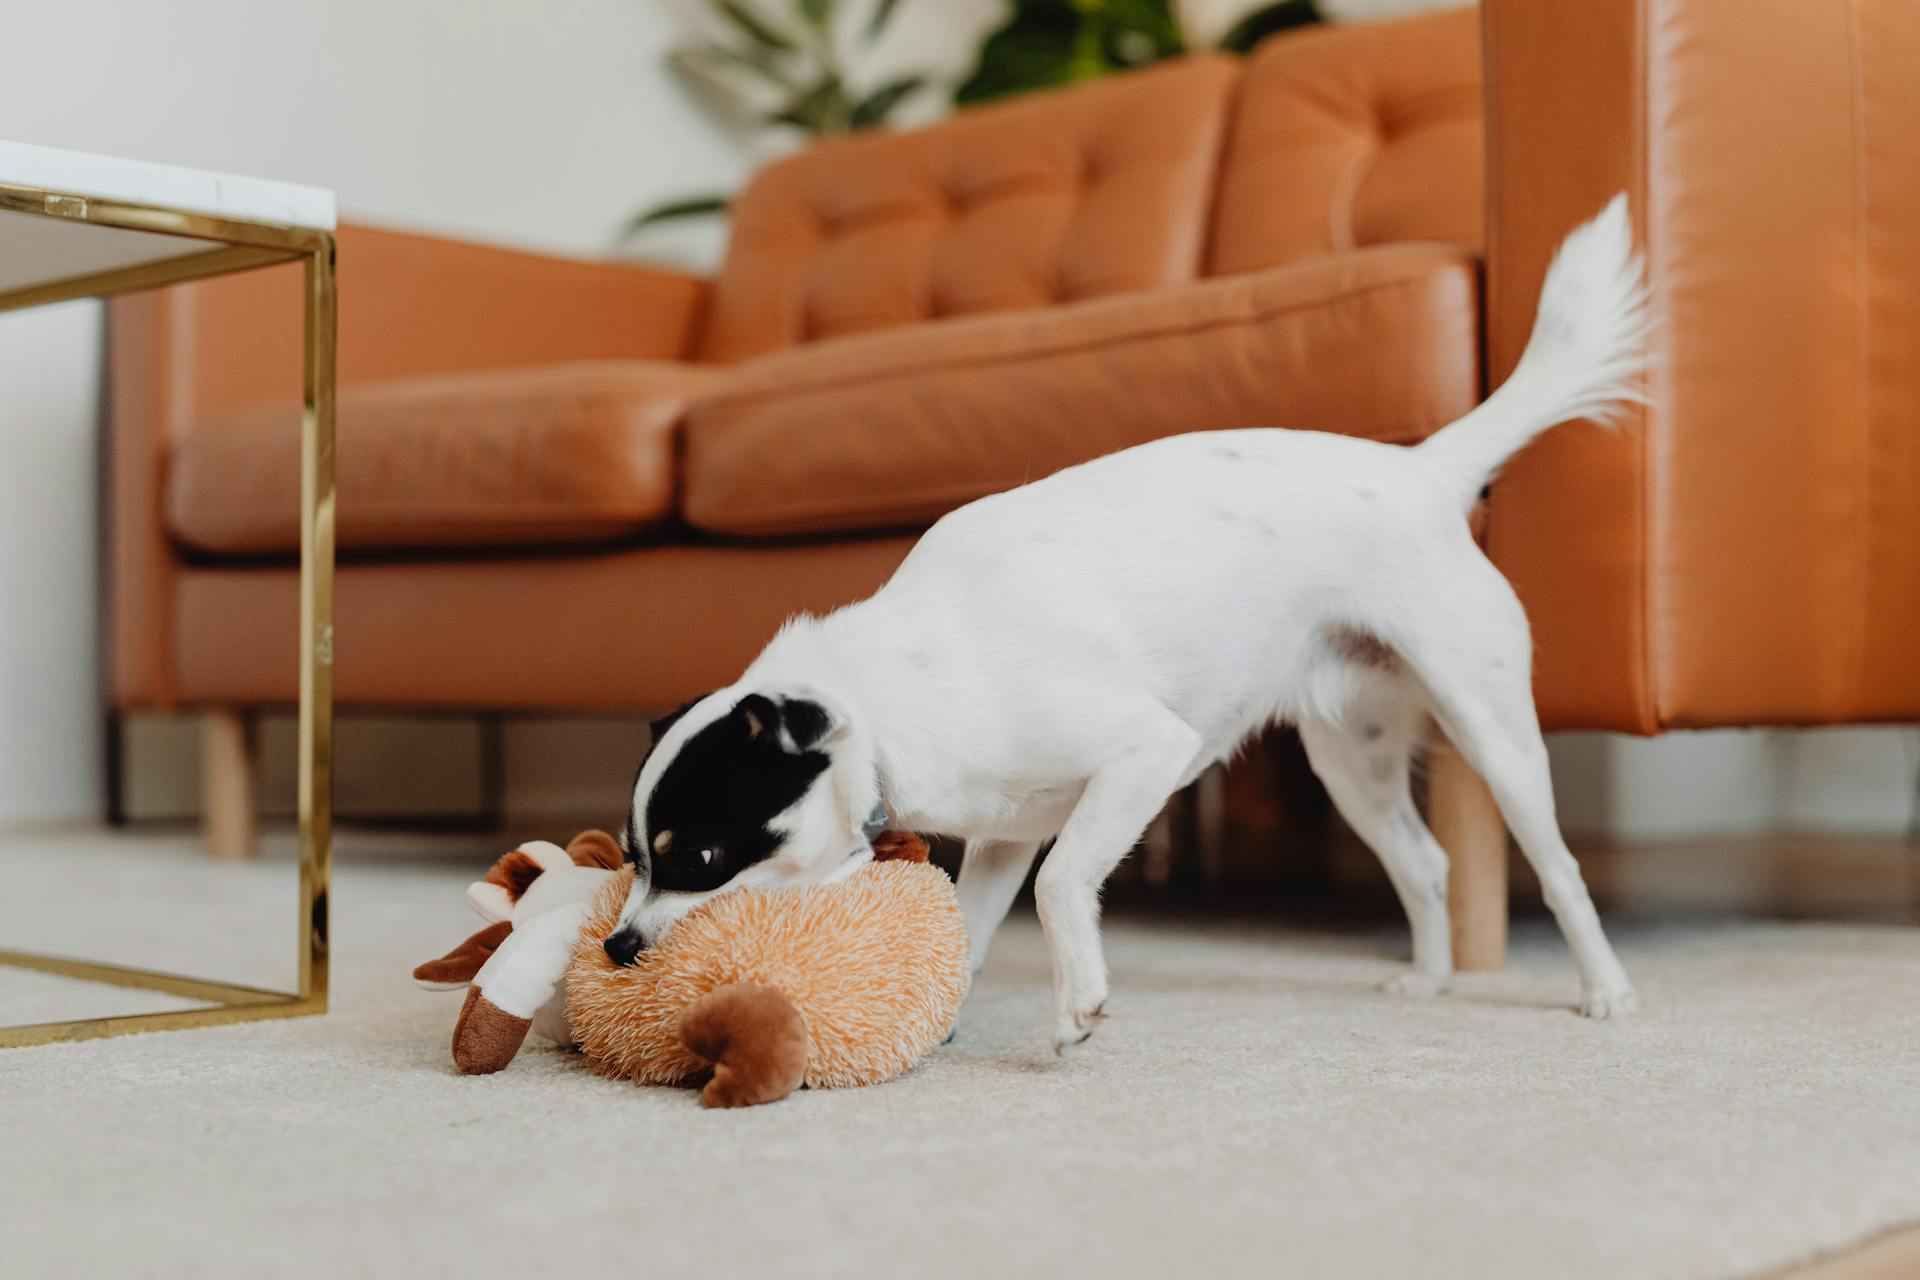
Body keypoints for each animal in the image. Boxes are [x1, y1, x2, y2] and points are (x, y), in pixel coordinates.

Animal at [606, 192, 1643, 1051]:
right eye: (630, 857)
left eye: (699, 858)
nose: (617, 946)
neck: (888, 697)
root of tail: (1421, 468)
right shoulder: (1006, 831)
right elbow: (972, 928)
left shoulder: (1143, 754)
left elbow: (1065, 882)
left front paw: (1077, 1005)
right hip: (1354, 758)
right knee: (1425, 863)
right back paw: (1430, 979)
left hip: (1490, 726)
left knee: (1558, 869)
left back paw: (1604, 991)